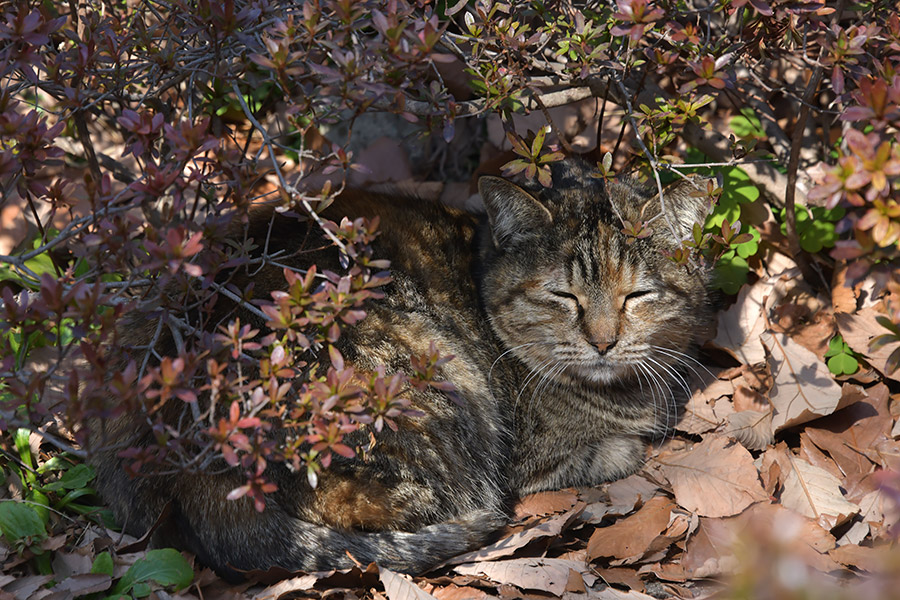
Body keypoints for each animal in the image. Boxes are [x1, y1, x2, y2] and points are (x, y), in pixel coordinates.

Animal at [89, 157, 712, 580]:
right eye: (563, 295)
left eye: (638, 295)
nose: (604, 342)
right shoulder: (533, 457)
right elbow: (601, 450)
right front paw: (623, 442)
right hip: (430, 376)